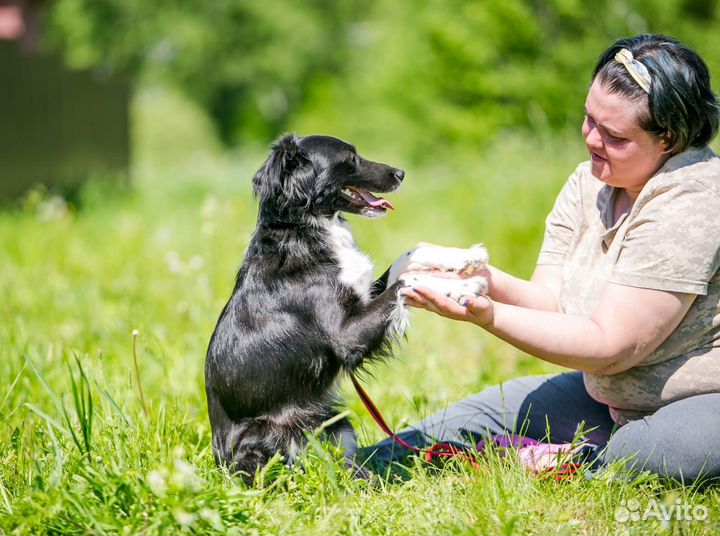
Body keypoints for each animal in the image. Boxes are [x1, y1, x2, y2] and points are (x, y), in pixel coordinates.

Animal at [205, 133, 486, 482]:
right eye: (350, 158)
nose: (401, 173)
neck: (306, 232)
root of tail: (221, 467)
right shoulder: (347, 337)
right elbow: (405, 282)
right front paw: (465, 287)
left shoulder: (364, 296)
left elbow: (410, 255)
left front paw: (464, 257)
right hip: (281, 434)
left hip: (338, 424)